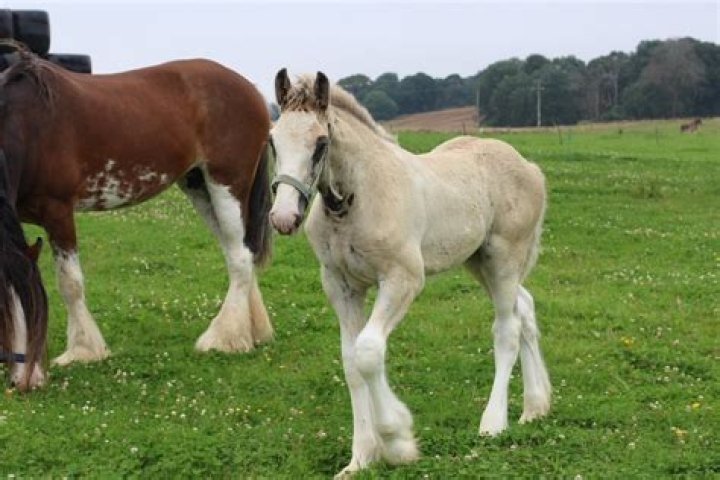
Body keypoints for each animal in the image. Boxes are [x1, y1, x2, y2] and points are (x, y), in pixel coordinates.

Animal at [0, 45, 274, 391]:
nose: (24, 381)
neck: (29, 123)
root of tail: (251, 90)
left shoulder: (58, 212)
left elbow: (70, 284)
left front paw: (83, 351)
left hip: (227, 185)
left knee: (239, 258)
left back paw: (223, 338)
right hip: (199, 186)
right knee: (239, 253)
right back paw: (252, 331)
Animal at [269, 70, 551, 476]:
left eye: (321, 143)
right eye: (272, 141)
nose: (283, 217)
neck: (357, 198)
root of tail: (530, 168)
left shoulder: (403, 279)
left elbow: (368, 352)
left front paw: (397, 440)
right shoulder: (340, 285)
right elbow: (351, 363)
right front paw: (360, 457)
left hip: (503, 259)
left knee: (507, 329)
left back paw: (493, 423)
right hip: (479, 261)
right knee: (525, 308)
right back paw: (535, 406)